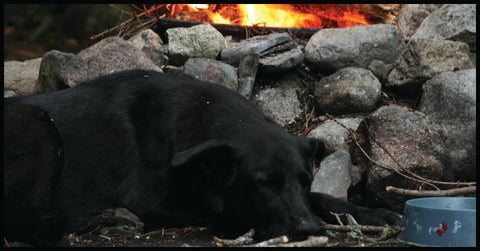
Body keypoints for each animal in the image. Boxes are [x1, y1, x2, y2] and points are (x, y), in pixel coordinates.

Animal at [3, 69, 402, 246]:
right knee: (29, 222)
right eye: (262, 184)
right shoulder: (153, 202)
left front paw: (368, 212)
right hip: (37, 124)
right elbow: (217, 207)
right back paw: (108, 217)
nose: (308, 230)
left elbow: (321, 197)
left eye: (303, 180)